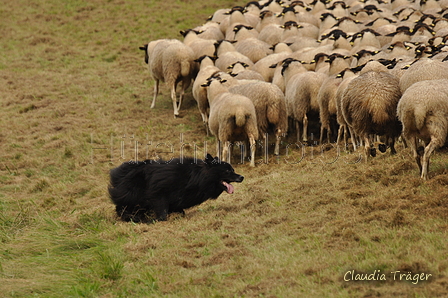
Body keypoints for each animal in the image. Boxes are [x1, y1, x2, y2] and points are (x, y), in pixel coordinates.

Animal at [109, 154, 245, 221]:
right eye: (227, 171)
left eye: (233, 169)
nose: (242, 177)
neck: (195, 176)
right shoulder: (158, 194)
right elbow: (162, 213)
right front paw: (156, 220)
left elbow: (180, 210)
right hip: (133, 195)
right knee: (121, 208)